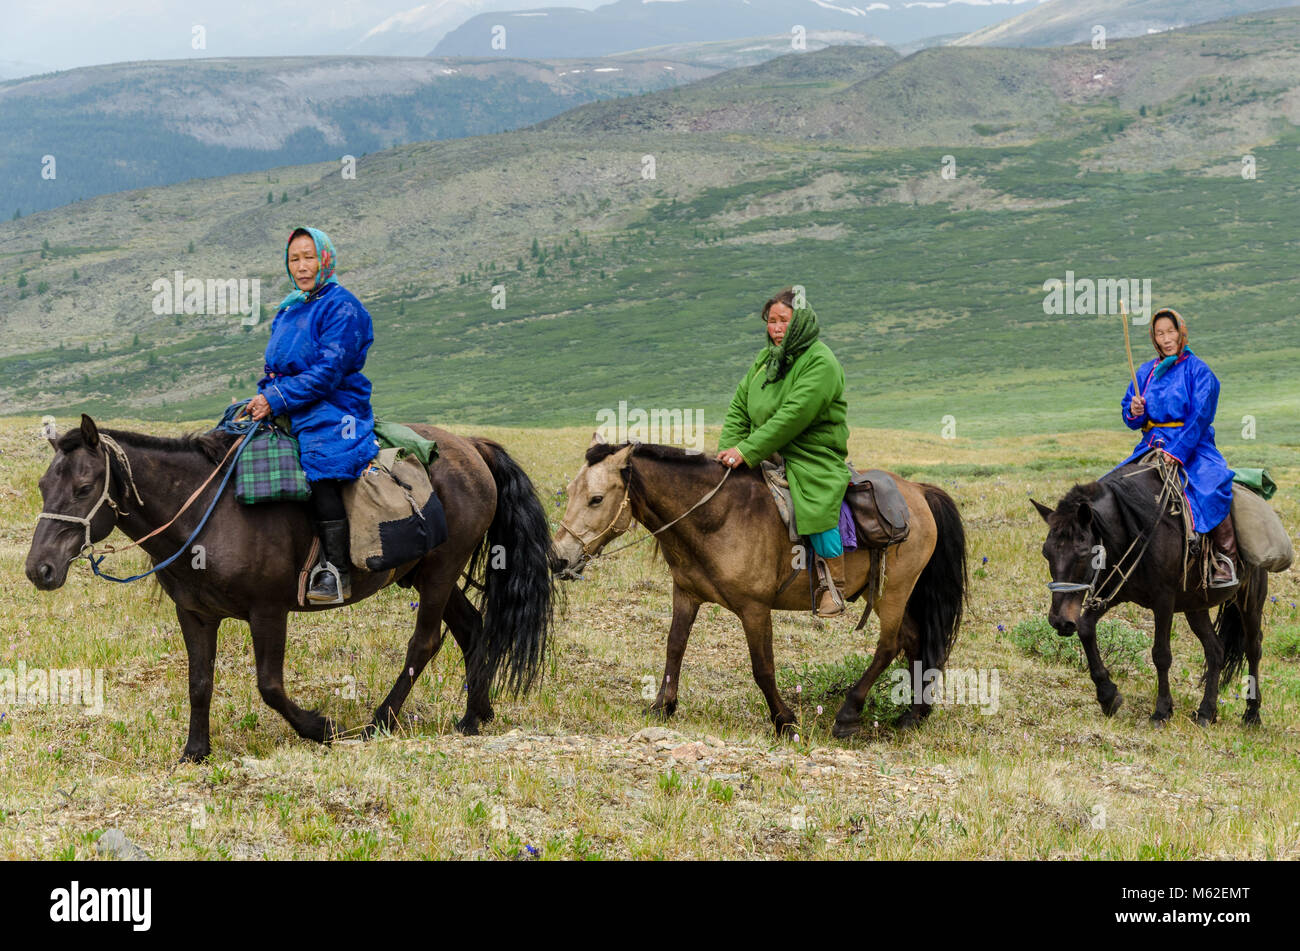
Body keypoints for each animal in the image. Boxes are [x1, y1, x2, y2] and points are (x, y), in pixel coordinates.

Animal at [24, 413, 553, 763]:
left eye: (84, 488)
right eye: (44, 486)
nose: (39, 570)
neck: (209, 515)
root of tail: (472, 447)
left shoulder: (268, 611)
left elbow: (270, 686)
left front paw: (321, 728)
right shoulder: (195, 614)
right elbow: (199, 682)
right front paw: (195, 751)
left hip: (442, 570)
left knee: (423, 643)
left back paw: (380, 722)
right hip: (427, 573)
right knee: (472, 628)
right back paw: (474, 716)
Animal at [1034, 462, 1268, 727]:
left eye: (1084, 553)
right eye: (1046, 553)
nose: (1060, 621)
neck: (1136, 529)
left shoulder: (1163, 601)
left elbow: (1161, 654)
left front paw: (1162, 711)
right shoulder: (1115, 592)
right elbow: (1085, 628)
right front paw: (1108, 696)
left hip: (1251, 600)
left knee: (1253, 648)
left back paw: (1252, 714)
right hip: (1195, 606)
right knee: (1215, 650)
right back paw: (1207, 712)